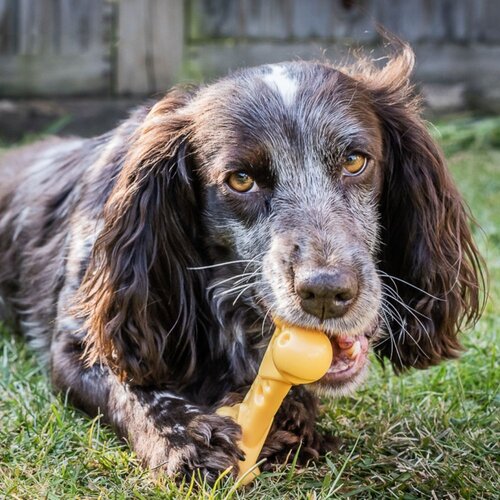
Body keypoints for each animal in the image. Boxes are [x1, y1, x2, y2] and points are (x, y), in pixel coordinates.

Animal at [0, 43, 484, 480]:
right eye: (241, 179)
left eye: (353, 160)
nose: (326, 292)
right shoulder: (82, 342)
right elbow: (135, 389)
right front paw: (186, 440)